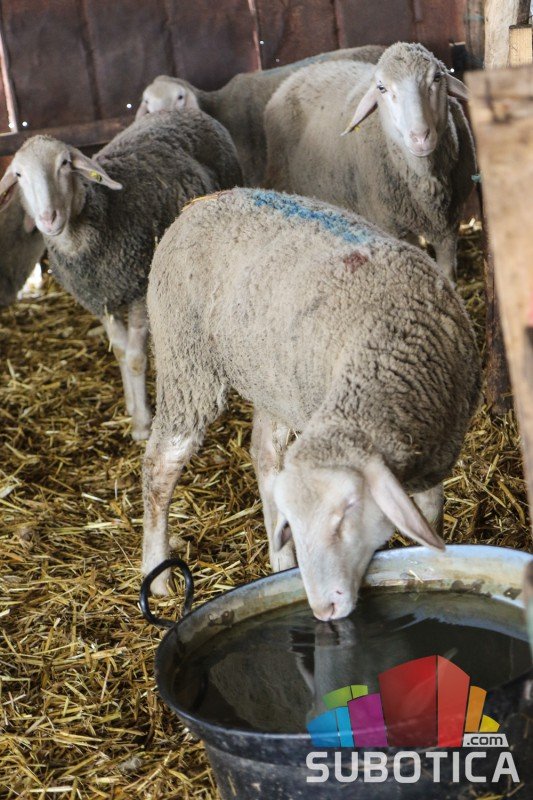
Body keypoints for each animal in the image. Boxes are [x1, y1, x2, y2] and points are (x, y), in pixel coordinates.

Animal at [0, 110, 242, 439]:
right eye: (19, 175)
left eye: (64, 163)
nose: (49, 219)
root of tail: (183, 112)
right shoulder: (101, 299)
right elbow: (119, 351)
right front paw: (131, 404)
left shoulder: (138, 288)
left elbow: (136, 358)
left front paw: (142, 423)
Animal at [142, 188, 480, 618]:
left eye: (348, 510)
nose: (323, 609)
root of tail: (199, 203)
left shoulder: (435, 457)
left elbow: (431, 510)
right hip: (187, 362)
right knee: (161, 465)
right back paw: (158, 573)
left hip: (270, 379)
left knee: (265, 454)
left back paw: (280, 562)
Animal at [264, 42, 477, 282]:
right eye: (381, 88)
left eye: (437, 77)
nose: (420, 137)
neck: (426, 179)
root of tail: (298, 74)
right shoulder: (392, 226)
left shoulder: (449, 226)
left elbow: (448, 273)